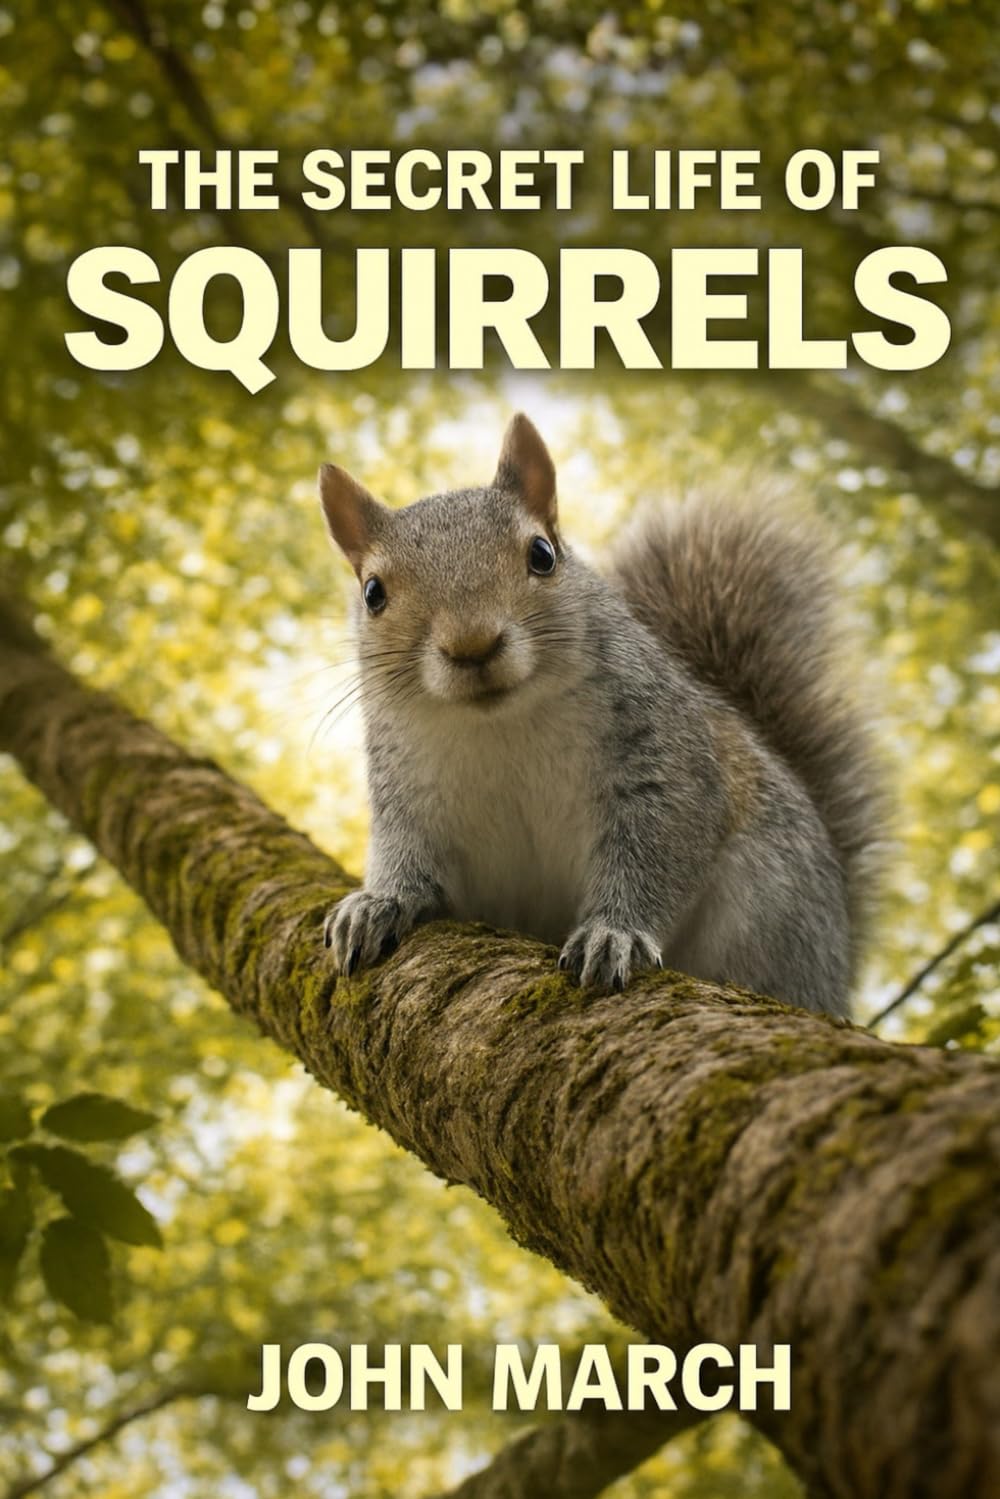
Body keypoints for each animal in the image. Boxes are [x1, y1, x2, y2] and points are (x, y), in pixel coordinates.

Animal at [316, 413, 884, 1017]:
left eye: (543, 554)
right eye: (373, 593)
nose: (472, 645)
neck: (502, 723)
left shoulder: (667, 766)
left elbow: (654, 855)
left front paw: (615, 935)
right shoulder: (408, 795)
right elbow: (408, 856)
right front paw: (379, 903)